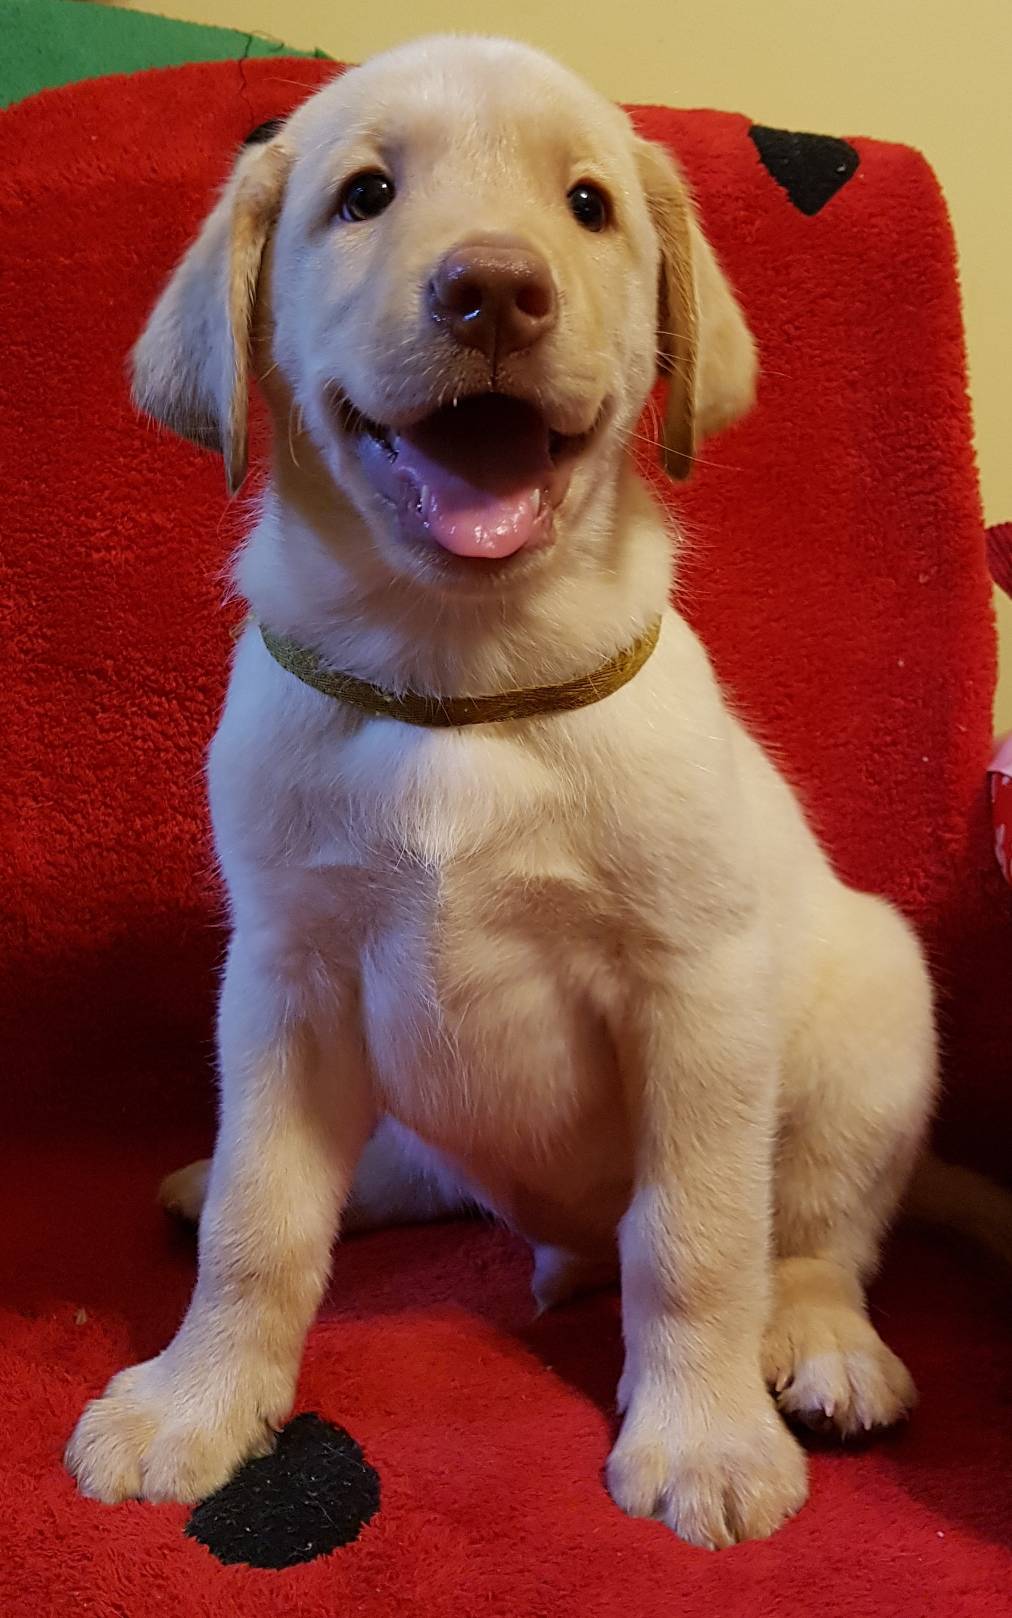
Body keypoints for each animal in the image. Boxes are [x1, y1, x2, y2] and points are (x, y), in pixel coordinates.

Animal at [66, 35, 940, 1549]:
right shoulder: (287, 976)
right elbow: (261, 1218)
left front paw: (705, 1437)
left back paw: (822, 1345)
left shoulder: (695, 992)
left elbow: (699, 1239)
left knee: (815, 1231)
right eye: (365, 195)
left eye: (588, 205)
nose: (491, 288)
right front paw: (199, 1399)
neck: (459, 681)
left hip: (874, 1011)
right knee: (387, 1168)